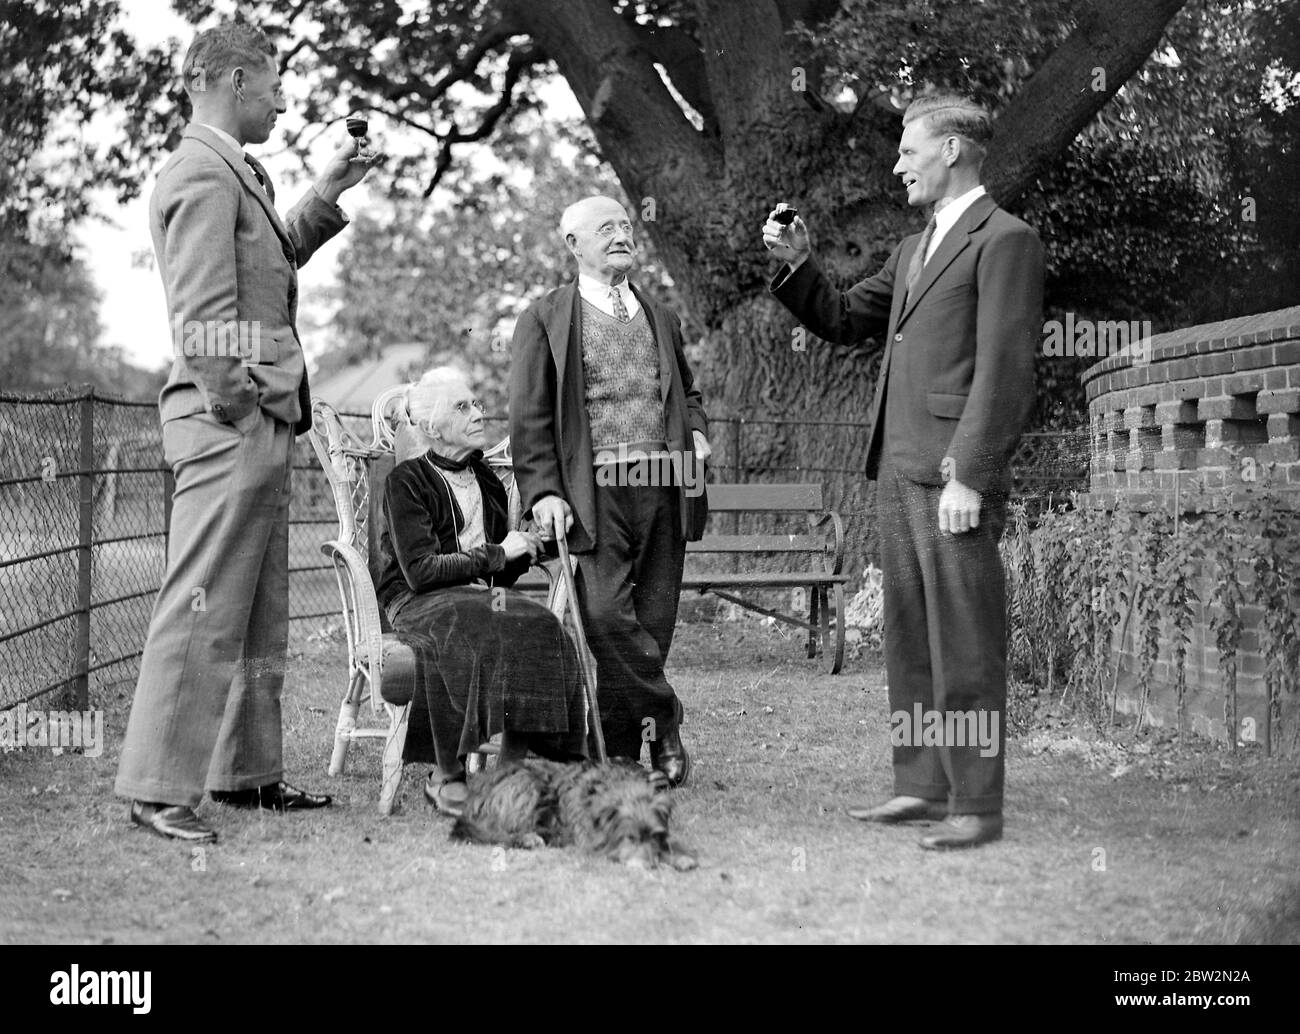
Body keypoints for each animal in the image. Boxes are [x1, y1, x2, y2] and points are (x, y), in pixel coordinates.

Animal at [454, 754, 702, 868]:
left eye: (655, 835)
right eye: (628, 837)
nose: (648, 865)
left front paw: (680, 855)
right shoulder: (590, 840)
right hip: (528, 785)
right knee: (499, 832)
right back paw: (529, 838)